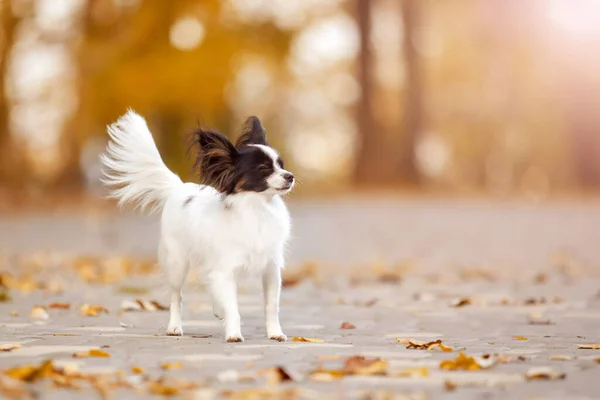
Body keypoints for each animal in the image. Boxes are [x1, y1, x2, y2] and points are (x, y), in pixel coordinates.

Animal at [101, 111, 292, 342]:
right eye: (263, 168)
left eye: (281, 165)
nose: (290, 176)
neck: (258, 210)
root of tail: (178, 188)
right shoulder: (226, 270)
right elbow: (233, 308)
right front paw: (234, 334)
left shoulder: (271, 270)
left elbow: (271, 307)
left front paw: (275, 334)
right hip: (177, 264)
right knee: (176, 297)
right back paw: (174, 327)